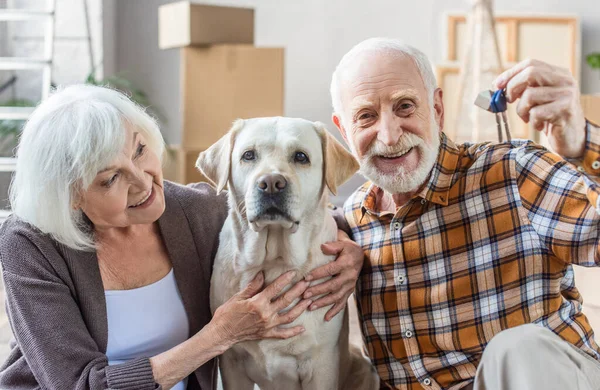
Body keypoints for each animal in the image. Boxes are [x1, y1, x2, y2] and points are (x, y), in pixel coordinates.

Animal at [197, 118, 378, 390]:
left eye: (301, 156)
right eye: (248, 155)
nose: (271, 183)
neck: (274, 261)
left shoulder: (321, 366)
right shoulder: (231, 364)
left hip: (365, 367)